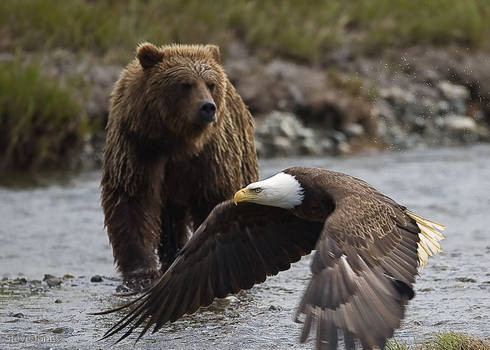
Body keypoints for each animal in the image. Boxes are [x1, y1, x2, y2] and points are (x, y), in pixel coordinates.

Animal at [101, 42, 258, 292]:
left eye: (211, 83)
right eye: (185, 84)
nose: (207, 107)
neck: (177, 139)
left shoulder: (212, 155)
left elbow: (214, 199)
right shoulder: (138, 145)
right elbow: (132, 199)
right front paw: (140, 273)